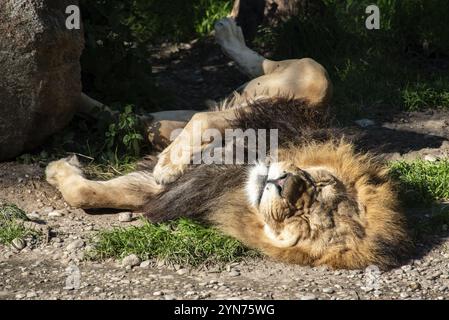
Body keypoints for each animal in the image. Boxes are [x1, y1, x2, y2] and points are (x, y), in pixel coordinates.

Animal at [45, 17, 410, 268]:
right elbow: (204, 122)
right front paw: (169, 164)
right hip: (311, 79)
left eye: (305, 223)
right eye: (319, 184)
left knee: (136, 120)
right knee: (260, 71)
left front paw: (58, 170)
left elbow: (88, 193)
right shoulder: (253, 124)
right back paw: (226, 32)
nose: (284, 184)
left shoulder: (163, 191)